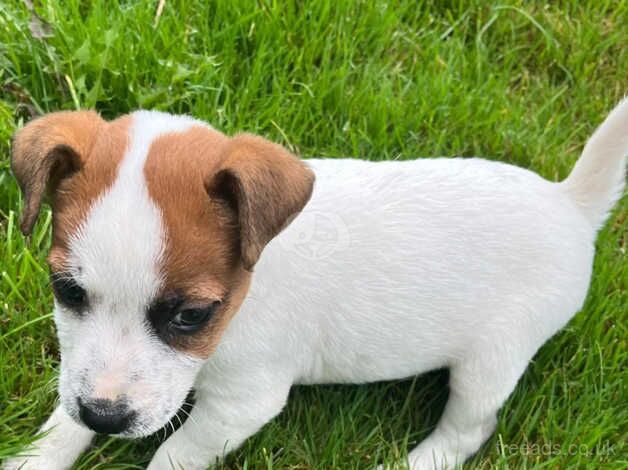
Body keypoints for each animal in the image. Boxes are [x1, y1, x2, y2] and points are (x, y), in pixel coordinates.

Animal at [4, 100, 628, 470]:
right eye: (67, 290)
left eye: (190, 316)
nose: (105, 418)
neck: (247, 294)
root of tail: (571, 204)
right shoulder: (81, 375)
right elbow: (63, 421)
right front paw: (38, 457)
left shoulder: (242, 404)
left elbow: (175, 454)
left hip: (491, 362)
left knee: (469, 428)